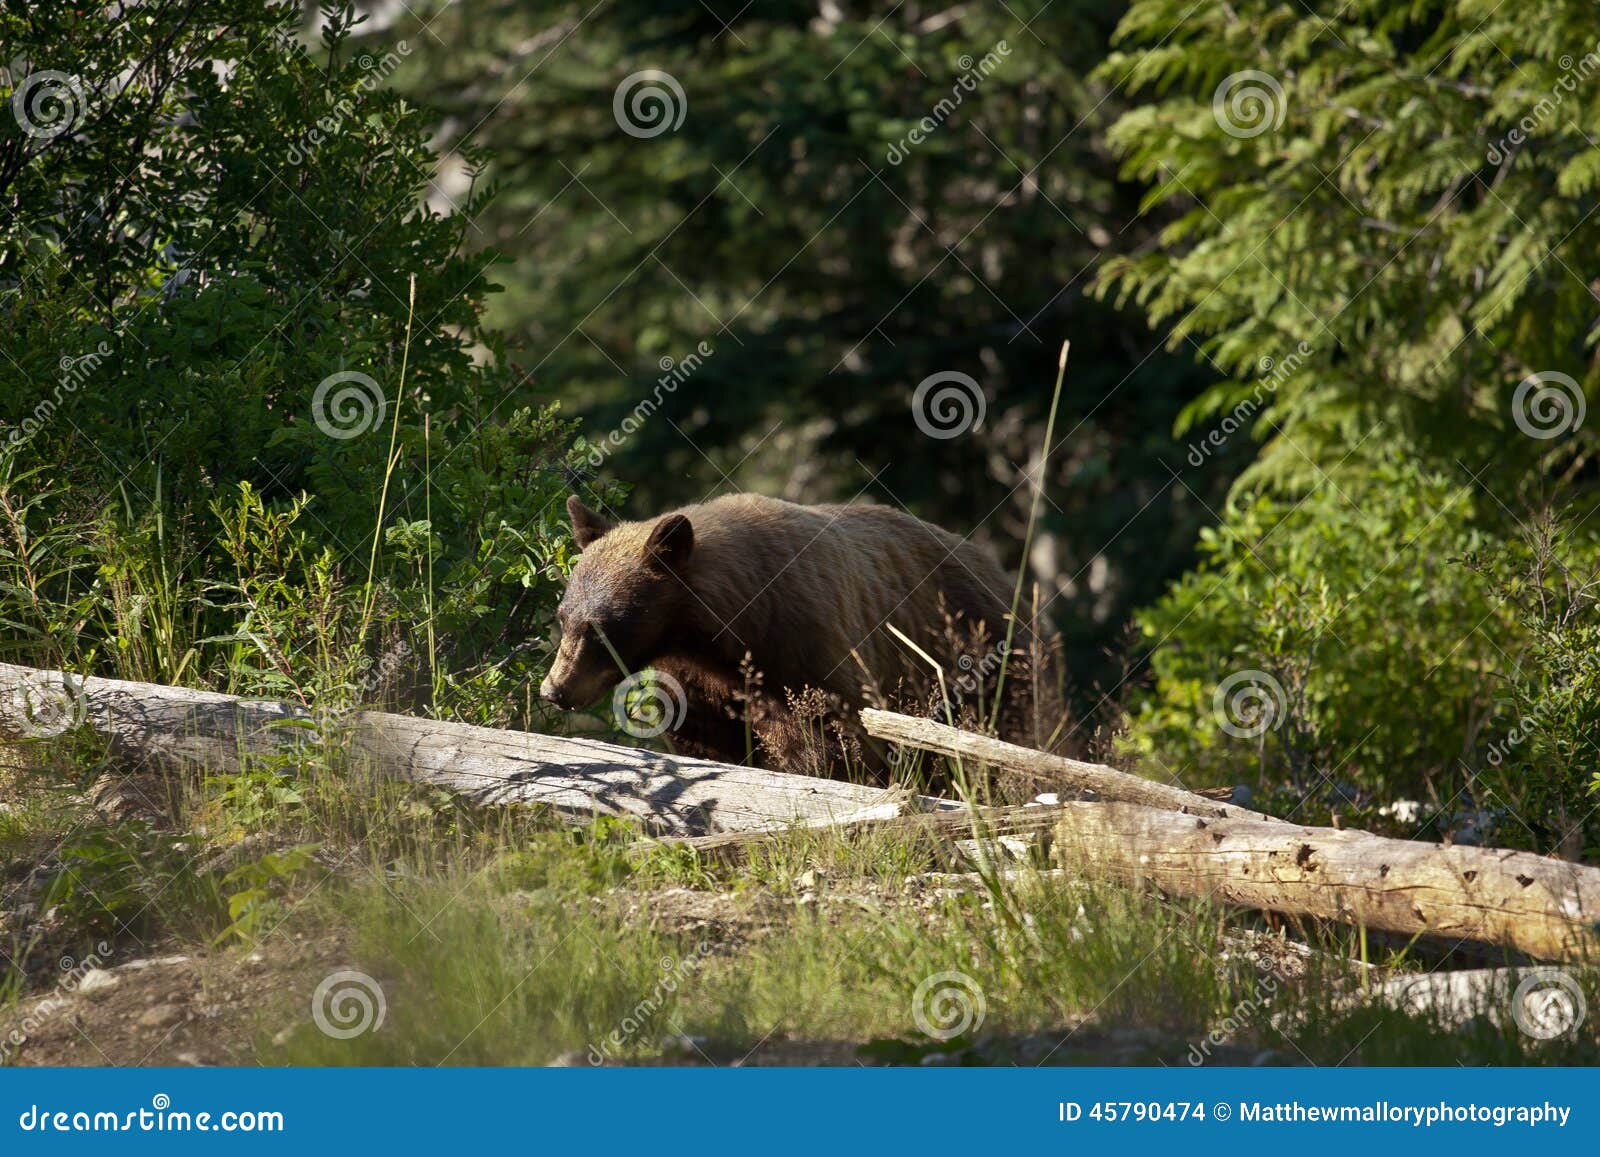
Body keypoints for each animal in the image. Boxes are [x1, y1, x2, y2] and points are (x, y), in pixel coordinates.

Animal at [539, 493, 1049, 777]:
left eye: (603, 627)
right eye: (563, 616)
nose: (555, 689)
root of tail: (1003, 576)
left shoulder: (802, 644)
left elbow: (833, 738)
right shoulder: (692, 679)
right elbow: (706, 739)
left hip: (988, 660)